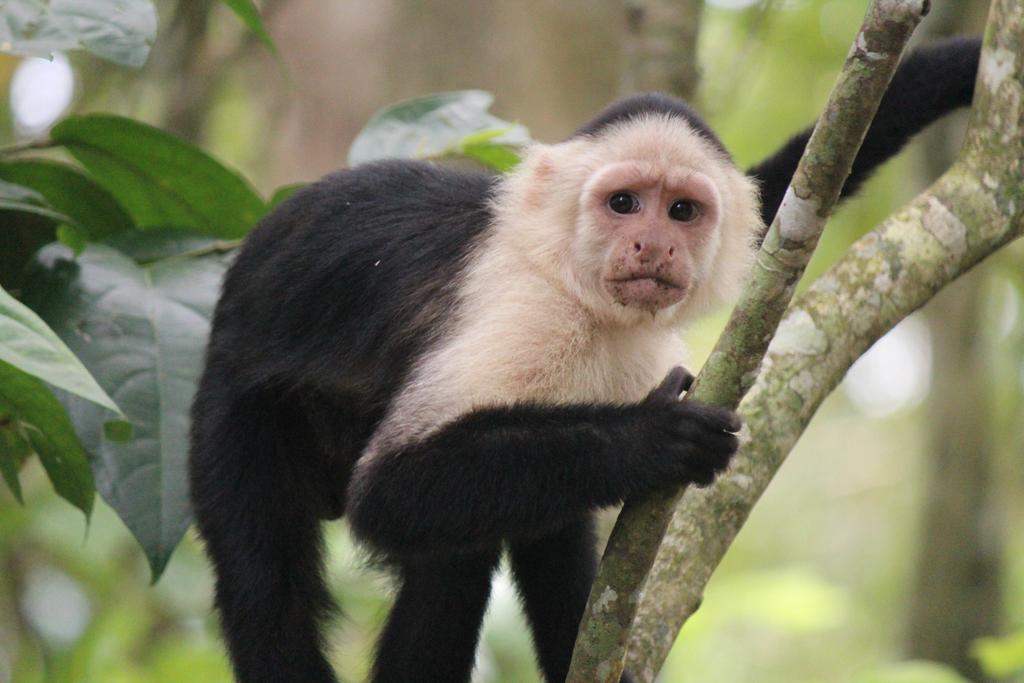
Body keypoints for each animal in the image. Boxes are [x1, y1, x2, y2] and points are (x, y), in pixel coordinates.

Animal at [188, 37, 978, 683]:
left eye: (682, 211)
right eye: (624, 203)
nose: (652, 246)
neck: (577, 290)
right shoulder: (520, 310)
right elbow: (389, 490)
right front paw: (656, 439)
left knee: (502, 532)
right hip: (235, 403)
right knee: (271, 580)